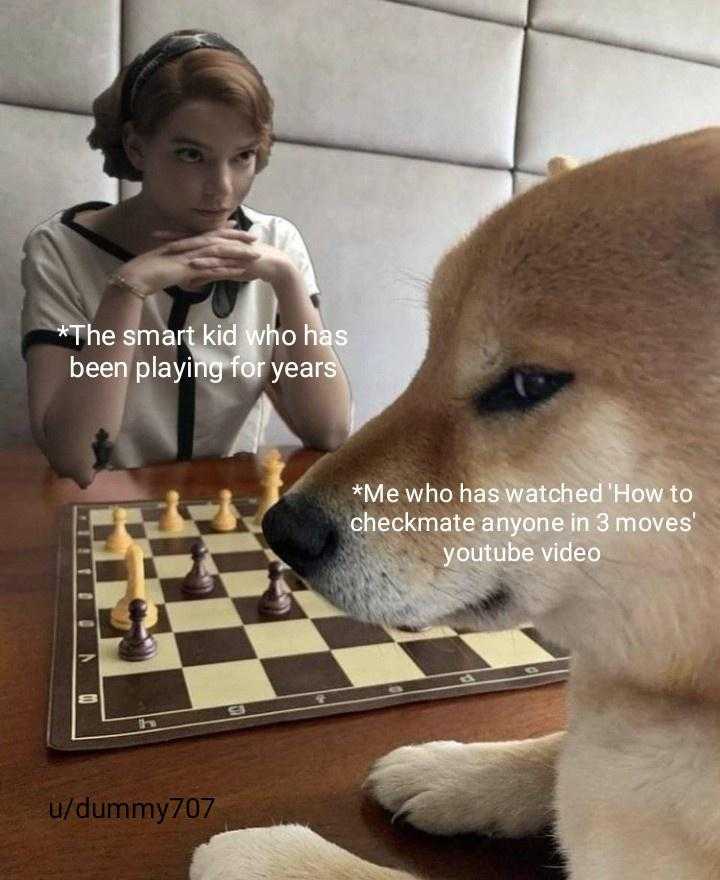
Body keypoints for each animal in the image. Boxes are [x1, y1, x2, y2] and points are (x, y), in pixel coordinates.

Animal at [190, 131, 720, 880]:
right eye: (430, 351)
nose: (283, 530)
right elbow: (558, 751)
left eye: (529, 384)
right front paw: (458, 771)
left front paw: (270, 854)